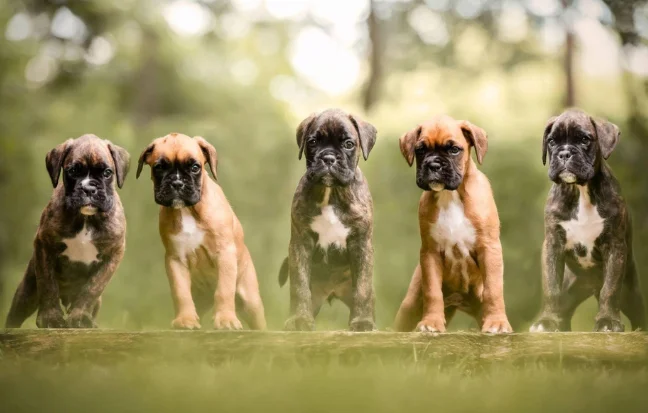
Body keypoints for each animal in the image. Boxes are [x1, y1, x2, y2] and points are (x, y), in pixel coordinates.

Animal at [4, 135, 129, 328]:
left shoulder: (114, 253)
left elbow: (93, 287)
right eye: (73, 171)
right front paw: (50, 318)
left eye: (107, 173)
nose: (89, 188)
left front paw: (79, 317)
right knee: (15, 315)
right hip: (26, 293)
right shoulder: (44, 245)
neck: (85, 219)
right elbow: (48, 284)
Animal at [137, 134, 266, 330]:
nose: (177, 183)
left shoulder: (225, 254)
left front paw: (226, 319)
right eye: (159, 167)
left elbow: (224, 290)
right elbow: (181, 293)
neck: (188, 210)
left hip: (251, 301)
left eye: (195, 167)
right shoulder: (175, 259)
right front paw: (185, 320)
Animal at [278, 108, 378, 330]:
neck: (331, 192)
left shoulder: (361, 244)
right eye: (313, 142)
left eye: (348, 144)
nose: (329, 157)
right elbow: (299, 286)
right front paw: (300, 319)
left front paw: (362, 322)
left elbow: (363, 289)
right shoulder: (300, 243)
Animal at [392, 114, 512, 334]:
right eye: (420, 150)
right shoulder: (430, 253)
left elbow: (493, 290)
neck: (450, 195)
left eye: (454, 149)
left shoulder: (489, 248)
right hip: (410, 305)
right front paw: (431, 322)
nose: (433, 165)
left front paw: (497, 323)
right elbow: (432, 292)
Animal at [528, 108, 644, 332]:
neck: (580, 190)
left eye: (584, 139)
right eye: (552, 141)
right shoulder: (553, 245)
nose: (564, 153)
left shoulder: (615, 246)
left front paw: (608, 321)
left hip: (631, 292)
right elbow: (551, 288)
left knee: (637, 314)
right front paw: (546, 321)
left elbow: (610, 289)